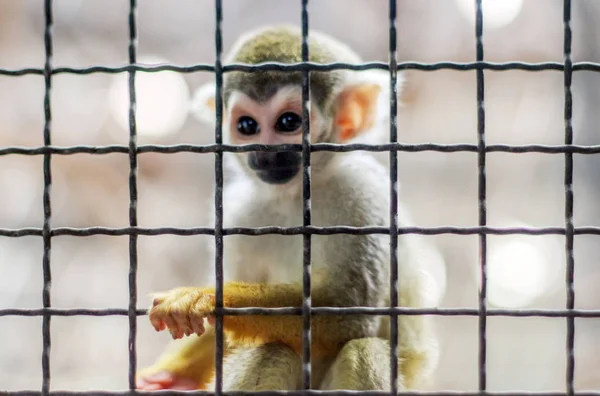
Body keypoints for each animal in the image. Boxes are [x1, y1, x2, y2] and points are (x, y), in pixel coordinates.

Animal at [138, 25, 442, 392]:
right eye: (247, 126)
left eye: (287, 122)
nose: (265, 154)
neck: (296, 197)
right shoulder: (243, 211)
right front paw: (173, 375)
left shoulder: (361, 194)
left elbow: (349, 311)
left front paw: (208, 296)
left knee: (361, 349)